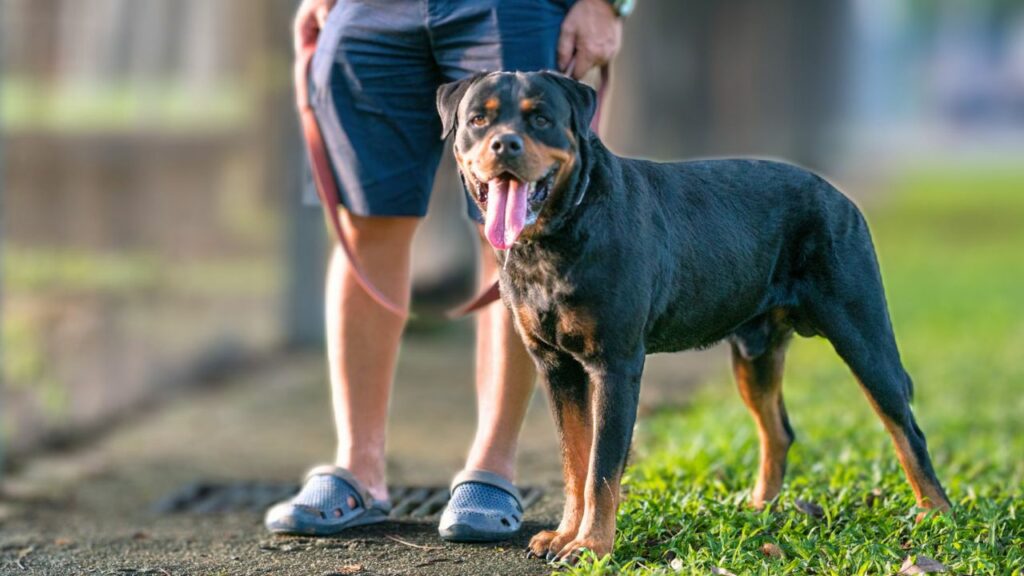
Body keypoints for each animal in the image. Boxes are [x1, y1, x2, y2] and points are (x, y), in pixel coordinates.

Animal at [434, 71, 950, 561]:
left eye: (540, 118)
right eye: (479, 119)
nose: (505, 143)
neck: (552, 239)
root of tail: (840, 197)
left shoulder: (615, 365)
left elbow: (601, 468)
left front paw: (591, 546)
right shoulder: (556, 366)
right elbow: (574, 462)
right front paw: (564, 535)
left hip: (861, 331)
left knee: (905, 426)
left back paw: (937, 514)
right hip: (754, 353)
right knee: (778, 430)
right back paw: (760, 507)